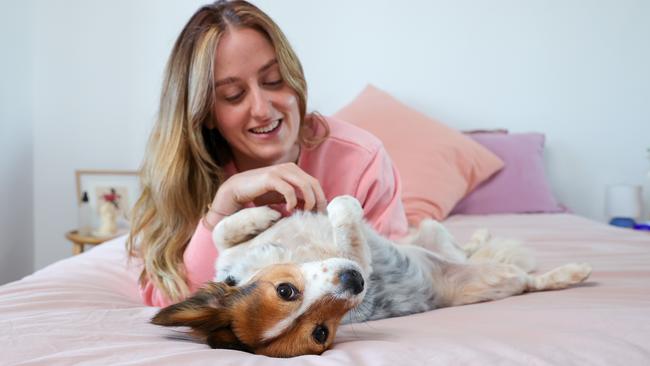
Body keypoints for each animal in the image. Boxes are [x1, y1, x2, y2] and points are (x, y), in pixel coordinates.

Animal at [153, 197, 592, 358]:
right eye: (321, 332)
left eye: (286, 289)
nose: (354, 284)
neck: (299, 254)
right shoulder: (357, 262)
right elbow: (346, 224)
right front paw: (341, 206)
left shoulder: (235, 251)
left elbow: (222, 229)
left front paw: (261, 214)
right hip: (501, 278)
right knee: (529, 280)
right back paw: (571, 272)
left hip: (432, 231)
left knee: (460, 246)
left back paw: (480, 237)